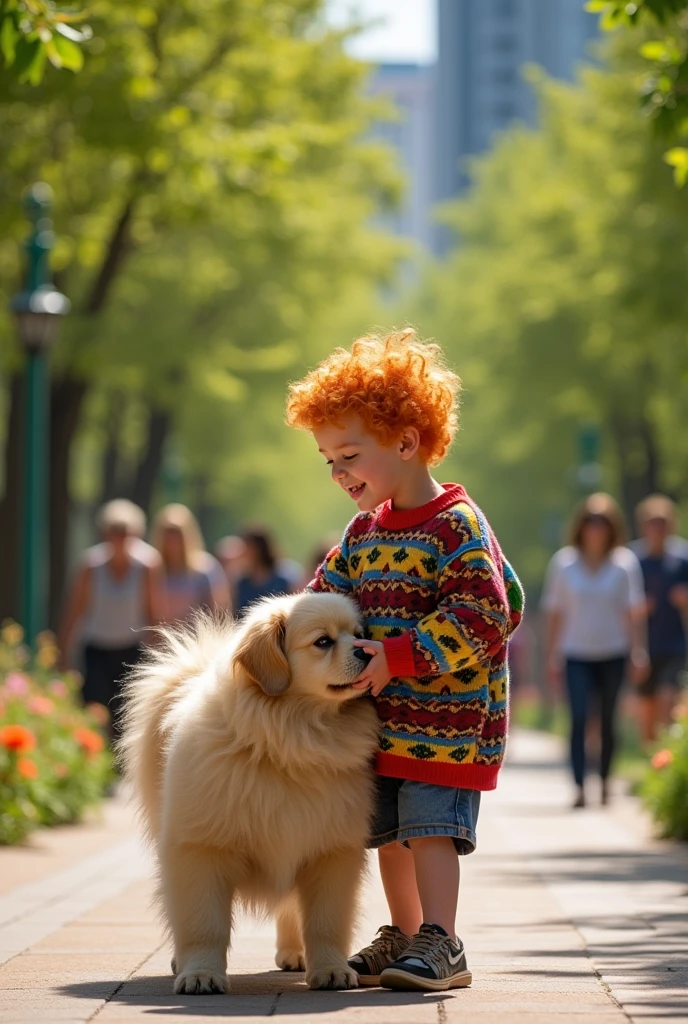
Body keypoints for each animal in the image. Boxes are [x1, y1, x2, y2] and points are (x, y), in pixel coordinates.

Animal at [118, 589, 376, 995]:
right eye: (323, 642)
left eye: (359, 633)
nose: (368, 650)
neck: (290, 741)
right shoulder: (200, 851)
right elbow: (204, 924)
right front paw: (201, 975)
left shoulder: (330, 852)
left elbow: (326, 923)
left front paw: (331, 971)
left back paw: (295, 955)